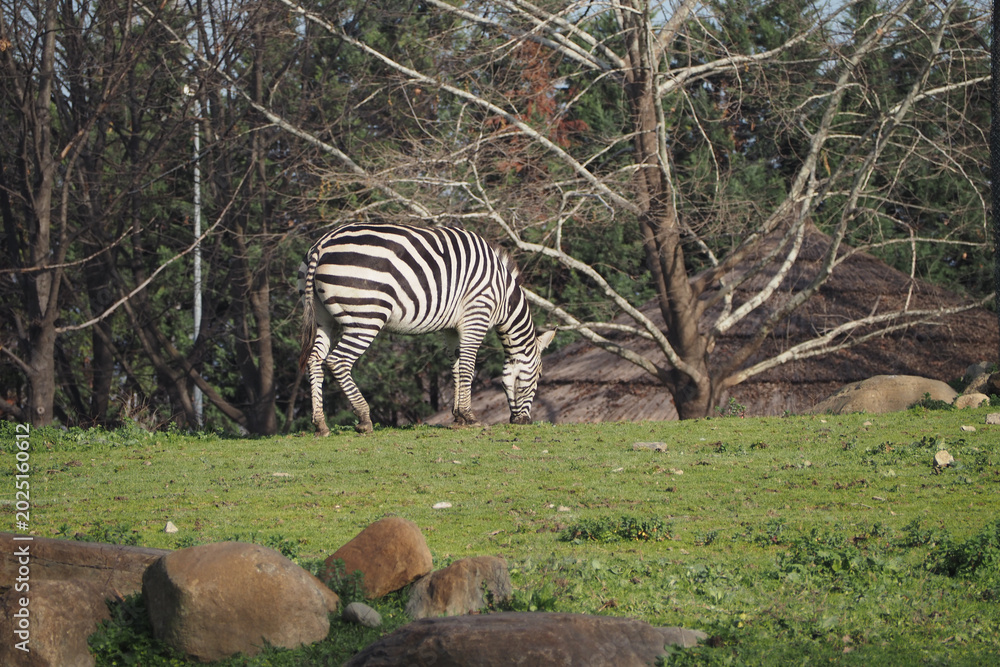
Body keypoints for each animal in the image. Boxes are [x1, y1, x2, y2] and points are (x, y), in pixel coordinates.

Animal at [298, 222, 555, 435]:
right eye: (539, 376)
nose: (524, 422)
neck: (503, 296)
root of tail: (322, 244)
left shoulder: (451, 328)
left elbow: (456, 367)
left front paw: (458, 417)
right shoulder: (476, 316)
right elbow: (468, 367)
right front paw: (470, 417)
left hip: (323, 318)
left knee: (315, 359)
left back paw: (320, 424)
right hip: (366, 317)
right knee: (337, 361)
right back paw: (364, 419)